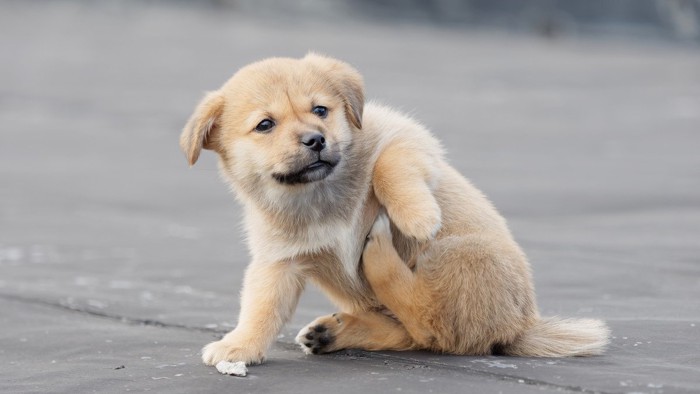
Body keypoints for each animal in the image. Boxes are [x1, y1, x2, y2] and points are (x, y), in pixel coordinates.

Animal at [179, 53, 608, 366]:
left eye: (321, 110)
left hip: (463, 254)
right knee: (416, 332)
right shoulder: (279, 260)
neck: (320, 194)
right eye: (265, 125)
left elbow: (390, 165)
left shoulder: (405, 136)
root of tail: (519, 327)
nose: (316, 140)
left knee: (430, 323)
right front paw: (240, 346)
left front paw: (417, 216)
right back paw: (335, 332)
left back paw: (380, 256)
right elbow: (260, 307)